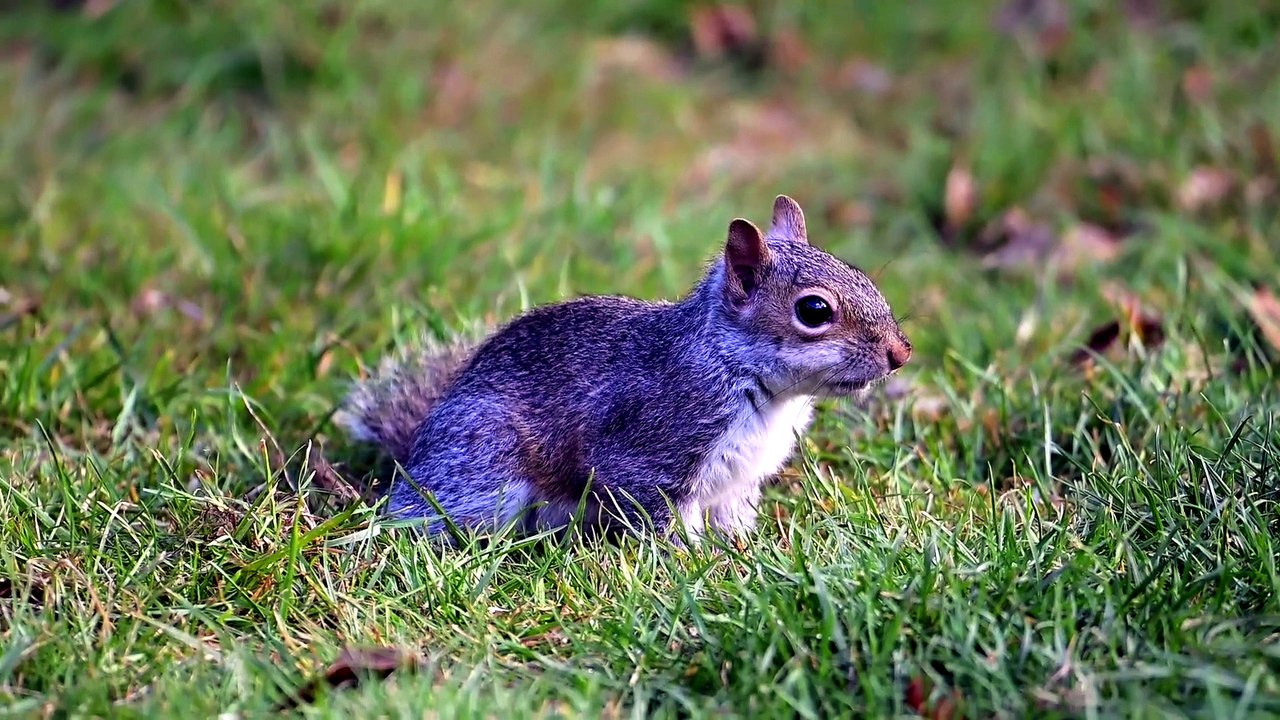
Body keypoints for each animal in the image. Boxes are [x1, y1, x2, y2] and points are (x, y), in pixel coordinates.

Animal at [337, 195, 911, 542]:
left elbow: (733, 525)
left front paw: (745, 556)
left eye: (860, 272)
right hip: (481, 469)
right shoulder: (650, 450)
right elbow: (659, 520)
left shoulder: (736, 485)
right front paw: (691, 566)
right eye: (814, 310)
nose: (900, 353)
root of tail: (414, 457)